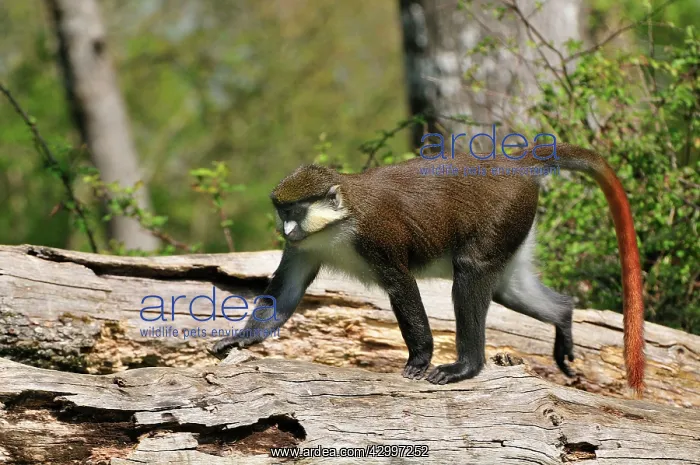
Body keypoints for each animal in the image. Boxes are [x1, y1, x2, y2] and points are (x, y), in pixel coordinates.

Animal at [211, 143, 645, 394]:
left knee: (471, 271)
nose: (284, 228)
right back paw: (564, 317)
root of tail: (515, 164)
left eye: (296, 211)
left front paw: (419, 360)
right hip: (516, 227)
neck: (339, 221)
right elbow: (285, 292)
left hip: (505, 211)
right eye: (282, 212)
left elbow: (402, 286)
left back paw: (466, 367)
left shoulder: (377, 237)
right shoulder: (301, 248)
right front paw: (241, 340)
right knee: (511, 289)